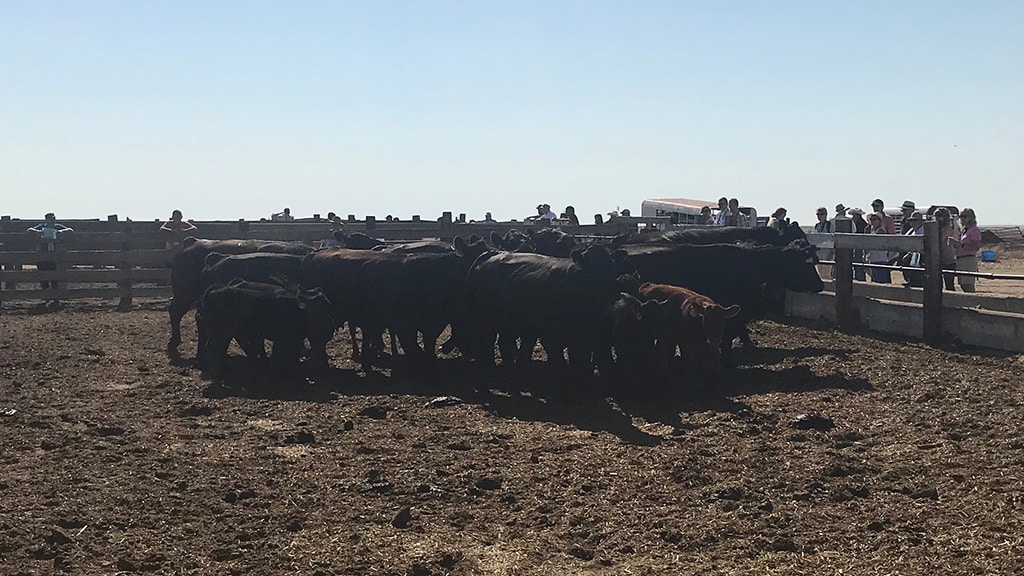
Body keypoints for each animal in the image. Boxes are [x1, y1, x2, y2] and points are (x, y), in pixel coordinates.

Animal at [197, 279, 334, 379]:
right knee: (213, 348)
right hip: (221, 332)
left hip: (224, 333)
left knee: (218, 348)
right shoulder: (285, 337)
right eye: (322, 307)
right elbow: (280, 354)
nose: (330, 328)